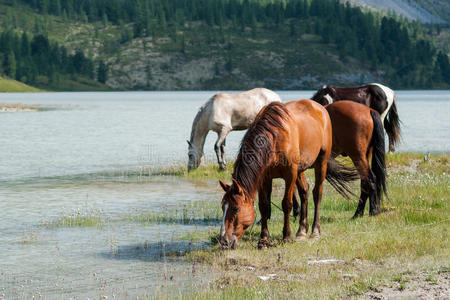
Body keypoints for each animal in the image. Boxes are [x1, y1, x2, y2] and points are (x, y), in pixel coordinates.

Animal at [220, 99, 356, 250]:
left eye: (235, 208)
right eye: (222, 207)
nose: (224, 241)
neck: (274, 139)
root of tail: (321, 108)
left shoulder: (290, 174)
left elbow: (287, 204)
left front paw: (286, 236)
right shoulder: (264, 178)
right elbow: (264, 206)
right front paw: (263, 239)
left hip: (321, 162)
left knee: (317, 193)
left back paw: (315, 231)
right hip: (300, 169)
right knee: (304, 191)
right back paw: (302, 230)